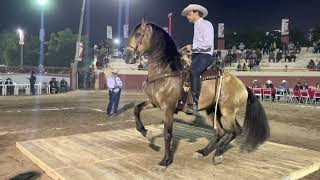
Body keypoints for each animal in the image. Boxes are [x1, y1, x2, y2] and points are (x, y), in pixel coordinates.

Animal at [122, 18, 270, 167]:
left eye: (138, 34)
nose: (125, 56)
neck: (166, 70)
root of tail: (243, 86)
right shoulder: (154, 102)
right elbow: (136, 109)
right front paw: (147, 133)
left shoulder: (168, 108)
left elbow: (167, 134)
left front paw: (166, 161)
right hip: (211, 111)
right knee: (220, 132)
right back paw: (203, 152)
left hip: (227, 111)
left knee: (235, 131)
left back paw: (217, 154)